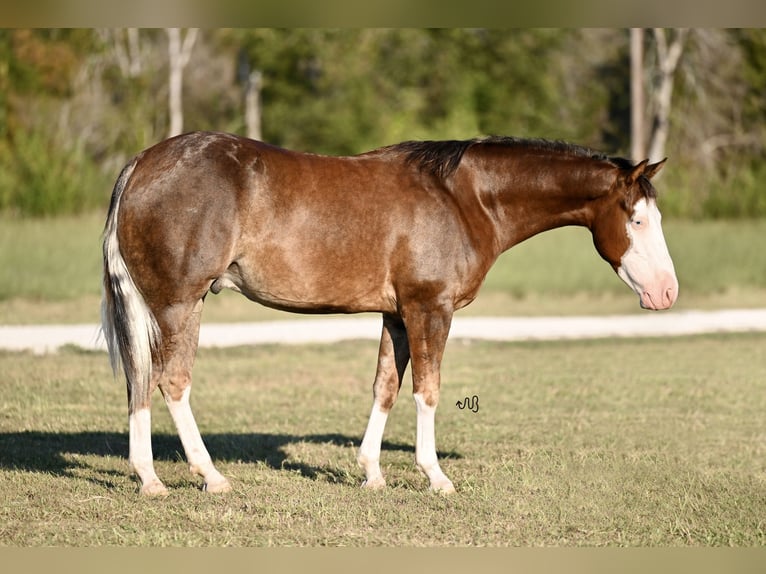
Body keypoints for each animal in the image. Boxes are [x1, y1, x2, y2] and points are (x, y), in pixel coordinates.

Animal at [100, 133, 680, 498]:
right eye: (637, 219)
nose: (667, 292)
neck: (464, 198)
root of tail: (142, 162)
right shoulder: (430, 309)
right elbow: (427, 390)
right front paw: (436, 477)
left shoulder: (397, 316)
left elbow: (385, 388)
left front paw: (372, 473)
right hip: (179, 303)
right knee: (172, 382)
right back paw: (207, 477)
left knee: (140, 380)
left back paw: (149, 478)